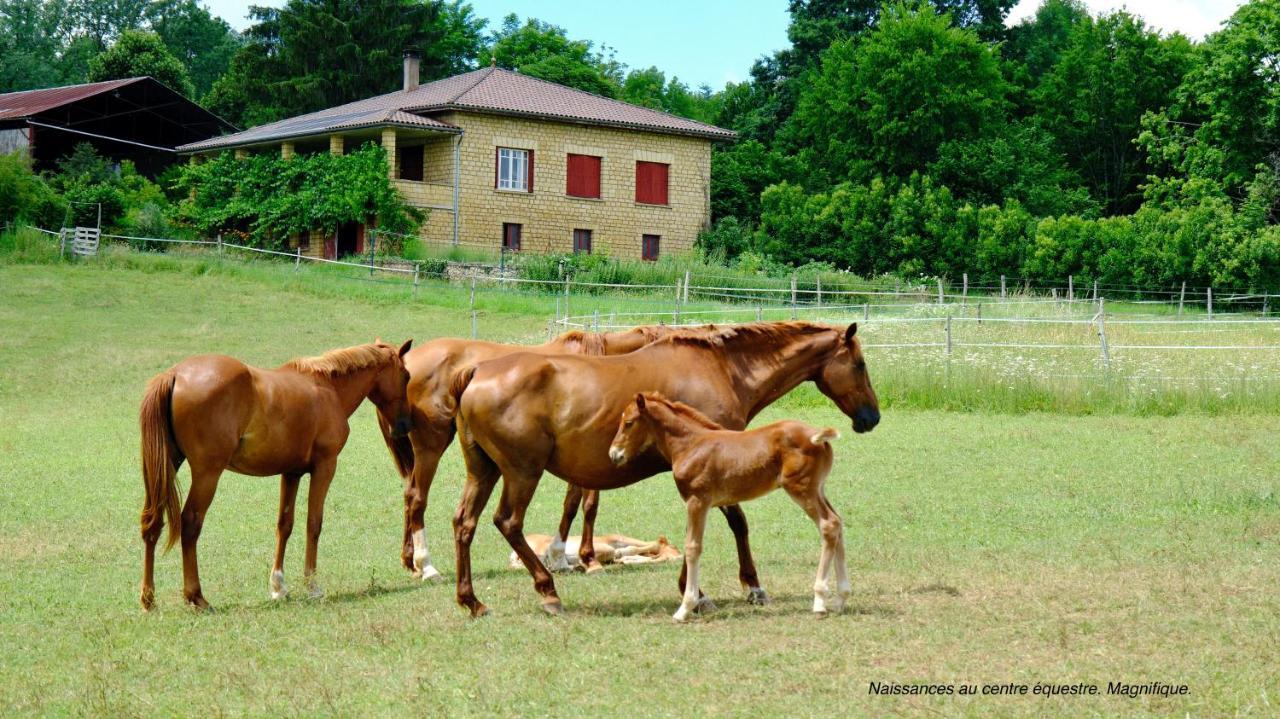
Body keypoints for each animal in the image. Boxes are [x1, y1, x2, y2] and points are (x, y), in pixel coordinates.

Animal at [137, 337, 412, 606]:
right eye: (406, 375)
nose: (404, 425)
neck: (328, 388)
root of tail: (175, 374)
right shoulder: (325, 467)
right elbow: (314, 524)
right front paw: (312, 586)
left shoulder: (291, 473)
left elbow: (284, 525)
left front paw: (278, 586)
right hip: (207, 474)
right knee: (190, 523)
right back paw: (196, 596)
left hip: (166, 467)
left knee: (152, 523)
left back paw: (148, 598)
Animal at [376, 327, 691, 578]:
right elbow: (587, 504)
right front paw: (586, 559)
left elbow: (573, 503)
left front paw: (565, 558)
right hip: (431, 446)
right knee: (418, 498)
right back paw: (427, 565)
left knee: (410, 495)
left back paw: (411, 561)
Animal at [609, 391, 849, 621]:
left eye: (629, 422)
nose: (614, 454)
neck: (691, 445)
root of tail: (817, 436)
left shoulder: (697, 501)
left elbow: (693, 547)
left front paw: (685, 608)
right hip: (817, 489)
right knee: (837, 523)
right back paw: (841, 599)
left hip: (801, 489)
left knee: (828, 525)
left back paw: (820, 603)